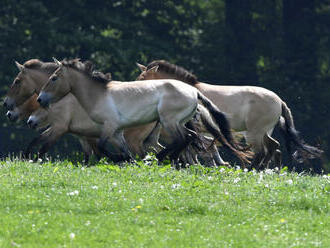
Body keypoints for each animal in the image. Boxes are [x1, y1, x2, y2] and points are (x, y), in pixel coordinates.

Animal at [36, 58, 250, 165]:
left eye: (54, 78)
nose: (40, 99)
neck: (99, 94)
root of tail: (195, 92)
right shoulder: (117, 131)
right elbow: (122, 150)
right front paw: (129, 161)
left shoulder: (109, 126)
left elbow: (104, 147)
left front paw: (122, 159)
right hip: (177, 122)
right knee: (189, 138)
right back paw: (166, 158)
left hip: (168, 121)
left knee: (183, 139)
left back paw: (162, 158)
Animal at [136, 60, 322, 170]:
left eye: (143, 78)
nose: (135, 90)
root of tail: (280, 101)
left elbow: (195, 147)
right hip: (263, 132)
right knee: (273, 147)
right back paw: (266, 169)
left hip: (255, 132)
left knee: (262, 151)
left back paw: (252, 169)